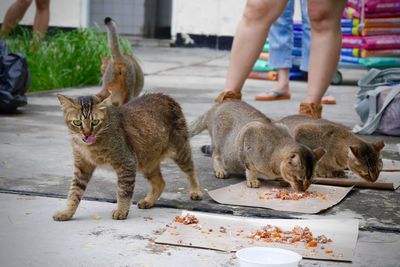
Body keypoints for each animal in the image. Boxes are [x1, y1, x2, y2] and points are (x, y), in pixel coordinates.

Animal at [54, 93, 203, 222]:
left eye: (95, 122)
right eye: (77, 122)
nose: (86, 134)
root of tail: (167, 96)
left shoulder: (127, 162)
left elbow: (123, 191)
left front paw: (121, 210)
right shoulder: (82, 167)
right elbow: (74, 192)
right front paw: (67, 212)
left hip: (180, 152)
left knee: (191, 170)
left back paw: (196, 191)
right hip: (147, 162)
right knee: (160, 183)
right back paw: (149, 201)